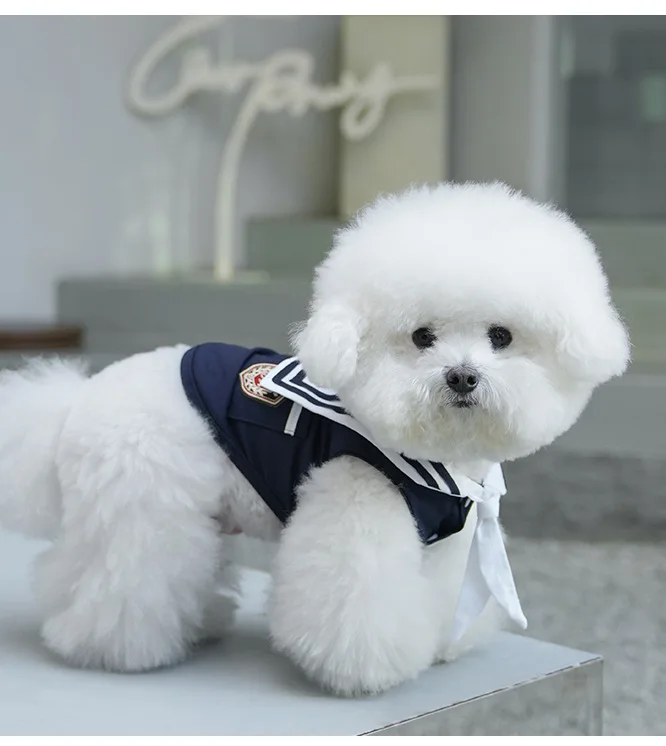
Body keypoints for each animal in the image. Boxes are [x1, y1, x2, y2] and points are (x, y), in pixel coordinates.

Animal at [0, 182, 629, 696]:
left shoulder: (444, 544)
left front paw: (438, 646)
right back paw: (112, 649)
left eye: (501, 336)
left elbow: (435, 597)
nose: (461, 377)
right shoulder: (355, 510)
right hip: (144, 508)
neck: (436, 457)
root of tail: (75, 402)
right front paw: (362, 673)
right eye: (421, 337)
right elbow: (355, 608)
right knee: (115, 580)